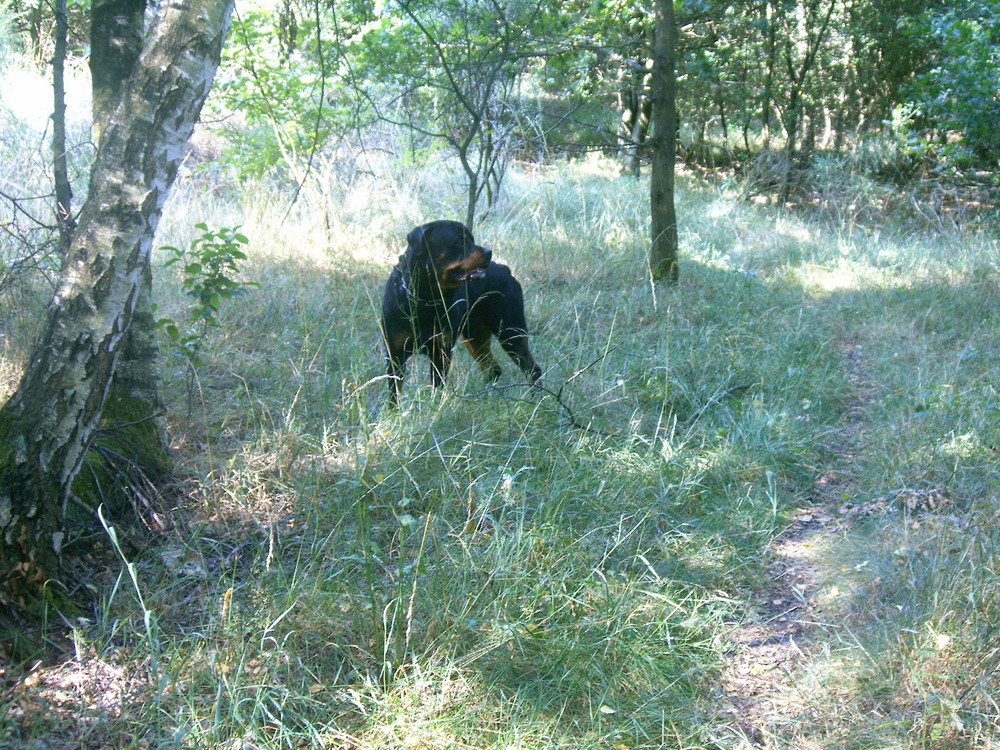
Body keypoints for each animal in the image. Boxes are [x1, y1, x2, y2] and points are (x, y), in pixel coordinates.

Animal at [380, 219, 540, 402]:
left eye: (472, 239)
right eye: (458, 242)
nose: (489, 251)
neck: (424, 298)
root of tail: (505, 269)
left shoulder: (441, 352)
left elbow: (437, 387)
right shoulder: (394, 354)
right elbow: (394, 393)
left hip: (510, 332)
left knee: (532, 369)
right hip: (475, 337)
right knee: (493, 369)